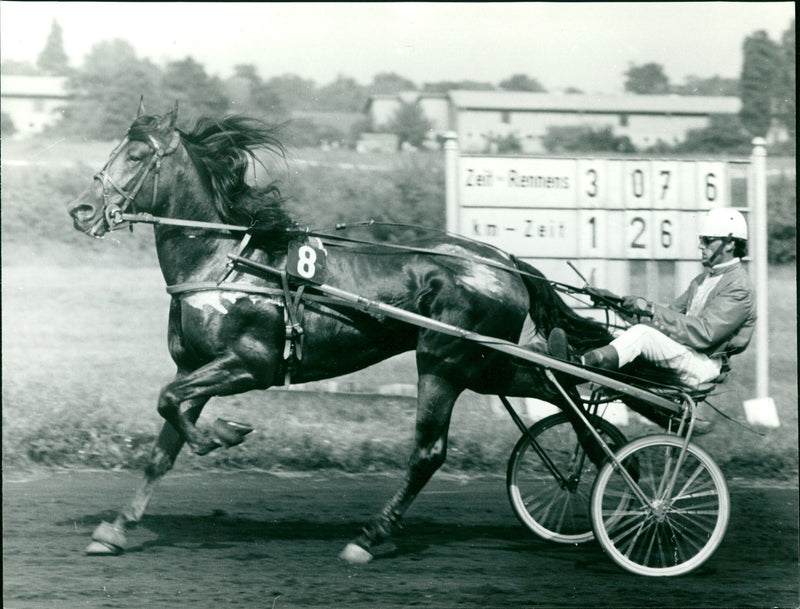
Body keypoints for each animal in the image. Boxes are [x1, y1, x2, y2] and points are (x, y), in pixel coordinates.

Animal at [69, 101, 660, 560]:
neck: (228, 261)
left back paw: (373, 535)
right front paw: (116, 528)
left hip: (445, 359)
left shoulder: (249, 363)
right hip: (485, 363)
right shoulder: (195, 365)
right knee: (558, 392)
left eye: (137, 155)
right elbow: (164, 441)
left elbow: (170, 403)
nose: (82, 209)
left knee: (430, 451)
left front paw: (221, 434)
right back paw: (610, 479)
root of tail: (502, 259)